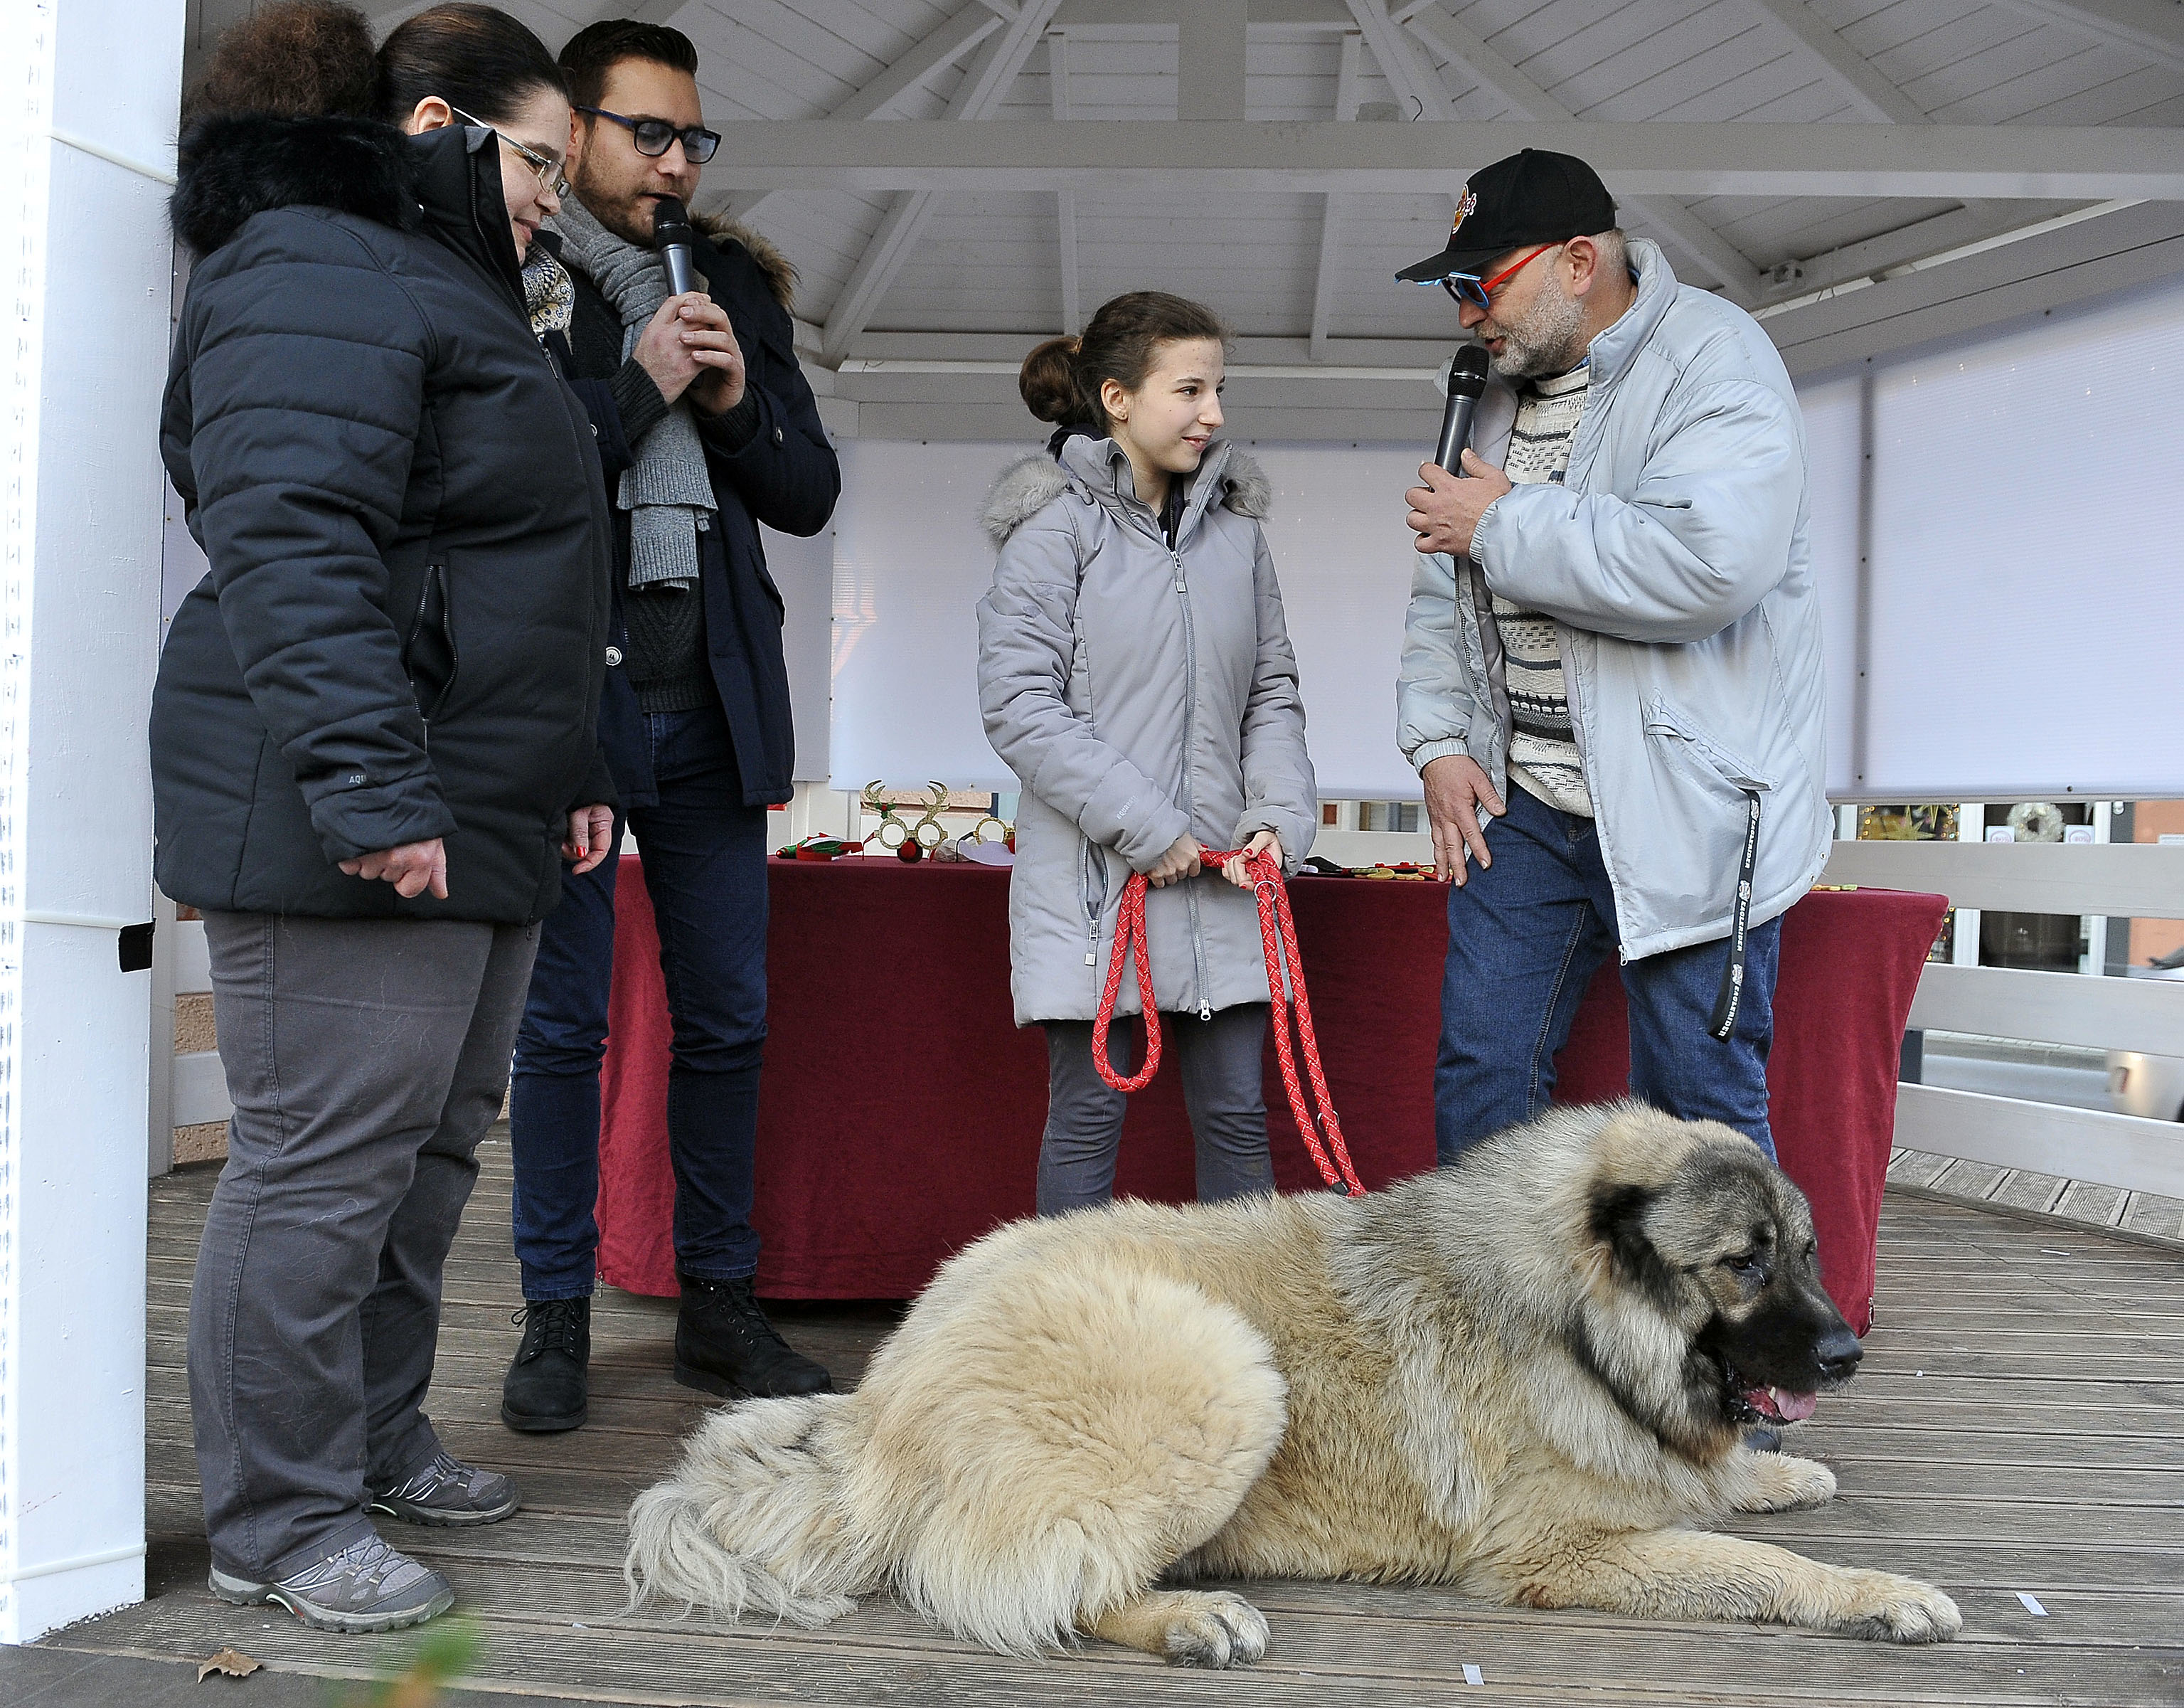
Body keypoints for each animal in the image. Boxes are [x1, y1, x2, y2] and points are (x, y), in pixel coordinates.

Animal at [620, 1105, 1965, 1668]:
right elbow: (1749, 1563)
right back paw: (1188, 1620)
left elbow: (1726, 1487)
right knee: (1029, 1582)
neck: (1577, 1319)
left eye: (1806, 1253)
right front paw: (1877, 1593)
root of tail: (877, 1408)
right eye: (1740, 1264)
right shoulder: (1562, 1551)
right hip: (1225, 1372)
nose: (1843, 1355)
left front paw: (1782, 1470)